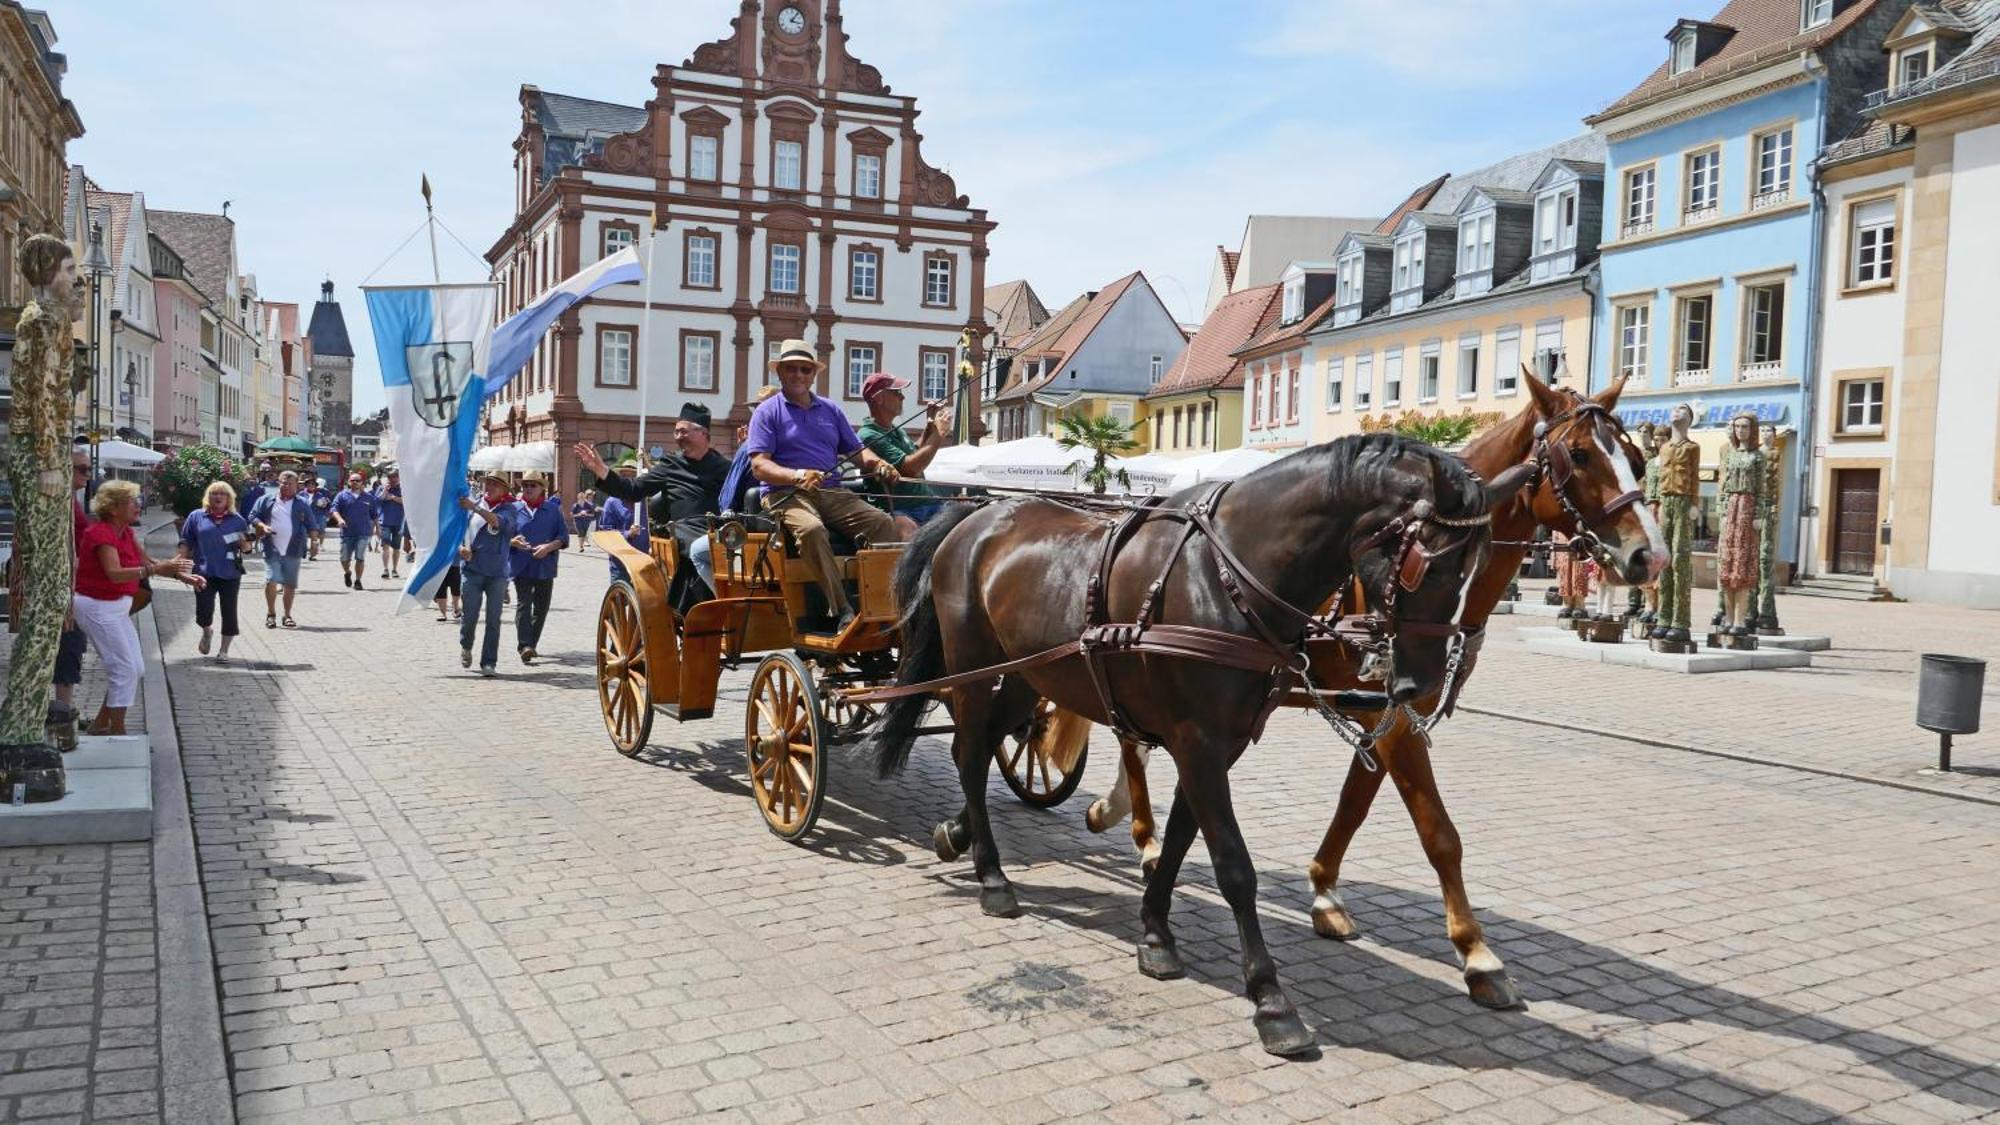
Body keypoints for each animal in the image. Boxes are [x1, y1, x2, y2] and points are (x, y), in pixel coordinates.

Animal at [872, 430, 1528, 1048]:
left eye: (1474, 568)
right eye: (1428, 564)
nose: (1422, 685)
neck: (1227, 578)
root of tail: (976, 514)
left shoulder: (1219, 745)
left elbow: (1186, 837)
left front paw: (1156, 932)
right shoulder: (1199, 741)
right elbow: (1233, 865)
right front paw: (1271, 999)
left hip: (1030, 673)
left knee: (989, 746)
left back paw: (960, 836)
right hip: (972, 668)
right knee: (968, 754)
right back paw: (992, 876)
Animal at [1088, 372, 1664, 1012]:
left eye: (1638, 459)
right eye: (1580, 455)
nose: (1650, 554)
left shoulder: (1386, 712)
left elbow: (1355, 804)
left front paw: (1325, 891)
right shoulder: (1394, 716)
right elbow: (1438, 832)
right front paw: (1476, 952)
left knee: (1131, 737)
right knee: (1129, 741)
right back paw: (1140, 833)